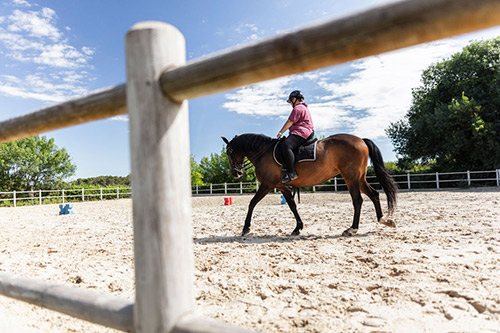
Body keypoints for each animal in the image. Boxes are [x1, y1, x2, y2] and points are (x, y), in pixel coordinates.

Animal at [223, 132, 398, 236]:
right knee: (374, 195)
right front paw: (298, 227)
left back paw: (352, 228)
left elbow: (252, 203)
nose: (236, 173)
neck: (263, 152)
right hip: (359, 178)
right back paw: (384, 220)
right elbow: (292, 205)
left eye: (229, 152)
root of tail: (361, 140)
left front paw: (246, 228)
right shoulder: (281, 186)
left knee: (358, 200)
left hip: (351, 178)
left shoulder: (267, 185)